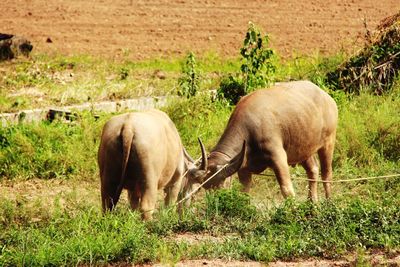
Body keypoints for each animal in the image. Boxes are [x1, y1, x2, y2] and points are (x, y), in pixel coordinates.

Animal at [190, 80, 338, 202]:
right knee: (313, 170)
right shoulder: (244, 168)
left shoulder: (278, 157)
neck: (249, 130)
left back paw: (329, 202)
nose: (216, 201)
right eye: (206, 187)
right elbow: (245, 192)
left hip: (328, 142)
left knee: (327, 175)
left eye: (221, 185)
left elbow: (287, 190)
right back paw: (312, 202)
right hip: (304, 148)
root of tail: (327, 98)